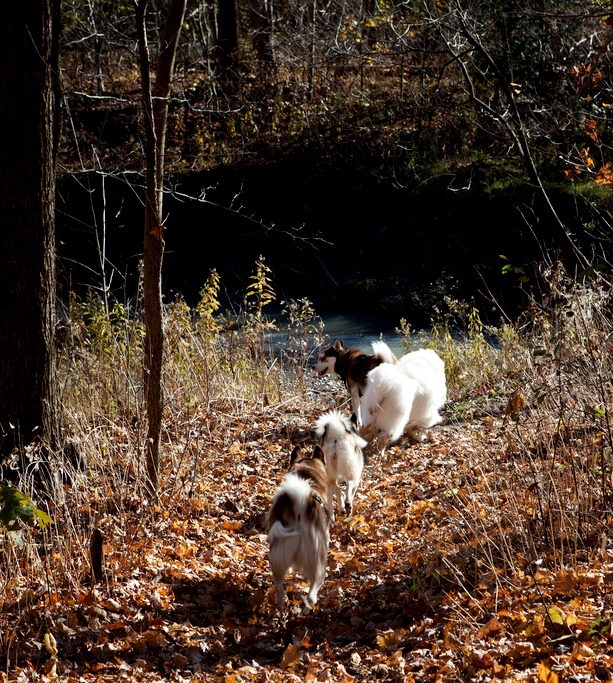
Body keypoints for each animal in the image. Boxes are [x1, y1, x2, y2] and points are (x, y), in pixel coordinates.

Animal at [264, 446, 330, 612]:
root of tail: (299, 506)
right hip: (319, 563)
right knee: (311, 595)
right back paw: (308, 608)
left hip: (278, 556)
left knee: (279, 588)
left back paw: (280, 605)